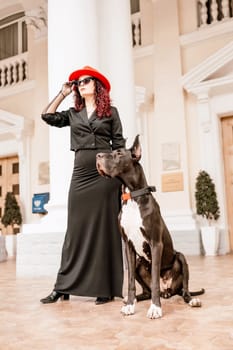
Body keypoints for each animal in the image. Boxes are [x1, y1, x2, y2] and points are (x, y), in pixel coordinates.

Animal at [96, 135, 204, 318]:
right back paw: (130, 300)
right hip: (138, 263)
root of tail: (168, 291)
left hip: (181, 258)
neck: (132, 197)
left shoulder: (155, 243)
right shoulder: (128, 246)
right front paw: (130, 305)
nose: (97, 156)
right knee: (146, 292)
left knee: (184, 290)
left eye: (119, 153)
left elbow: (154, 280)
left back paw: (191, 300)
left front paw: (155, 308)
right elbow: (130, 282)